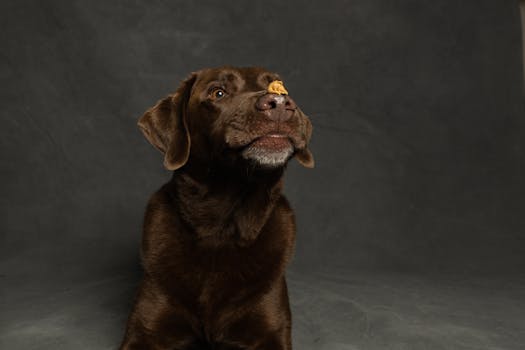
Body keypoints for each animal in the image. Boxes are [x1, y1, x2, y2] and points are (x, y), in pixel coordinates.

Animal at [121, 66, 314, 350]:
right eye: (218, 92)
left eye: (280, 88)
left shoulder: (271, 330)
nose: (279, 104)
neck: (222, 224)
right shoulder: (145, 330)